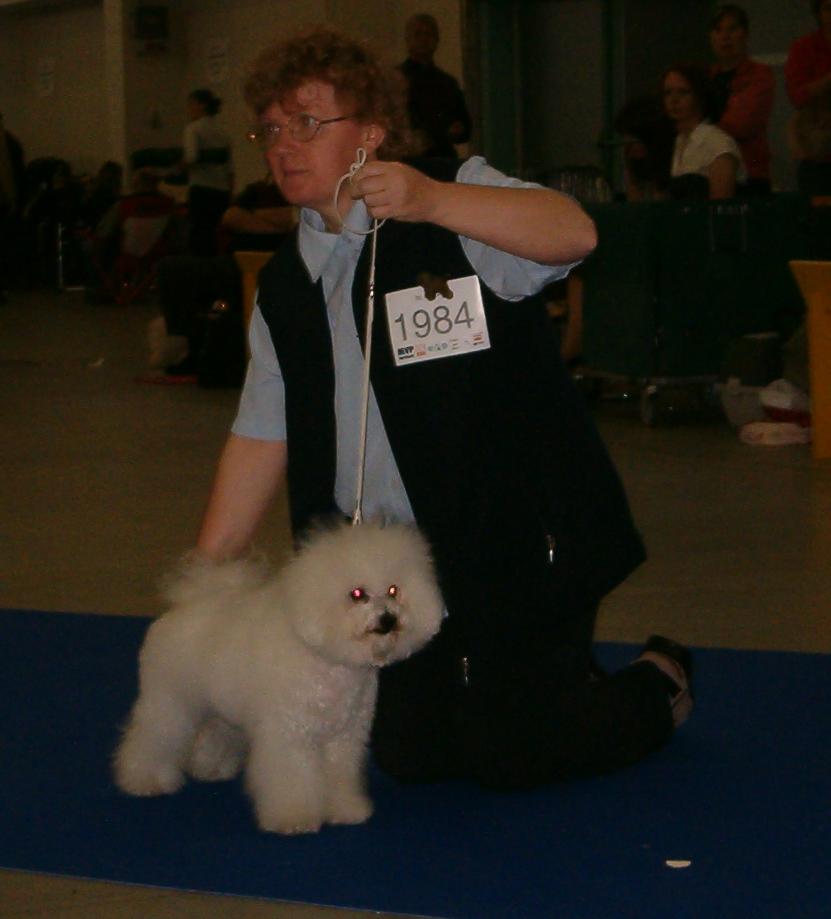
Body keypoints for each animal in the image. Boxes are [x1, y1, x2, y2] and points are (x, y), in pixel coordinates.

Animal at [113, 519, 443, 834]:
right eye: (357, 594)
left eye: (393, 590)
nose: (388, 619)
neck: (328, 662)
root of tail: (187, 605)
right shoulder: (290, 733)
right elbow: (292, 777)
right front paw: (294, 819)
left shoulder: (343, 737)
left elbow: (339, 774)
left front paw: (345, 810)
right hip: (170, 701)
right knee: (153, 736)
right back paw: (145, 780)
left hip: (219, 710)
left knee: (213, 733)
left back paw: (211, 768)